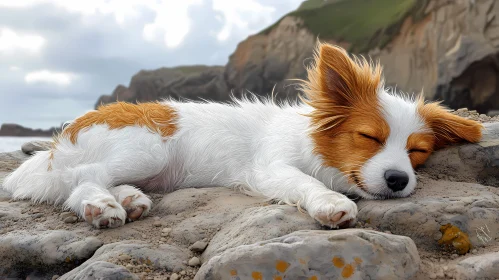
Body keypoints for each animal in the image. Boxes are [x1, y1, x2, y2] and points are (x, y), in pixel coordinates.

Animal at [0, 42, 484, 229]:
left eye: (417, 151)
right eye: (369, 137)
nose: (399, 181)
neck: (318, 149)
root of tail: (63, 137)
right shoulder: (270, 168)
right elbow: (305, 183)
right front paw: (330, 203)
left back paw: (131, 200)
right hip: (147, 148)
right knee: (81, 179)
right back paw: (102, 205)